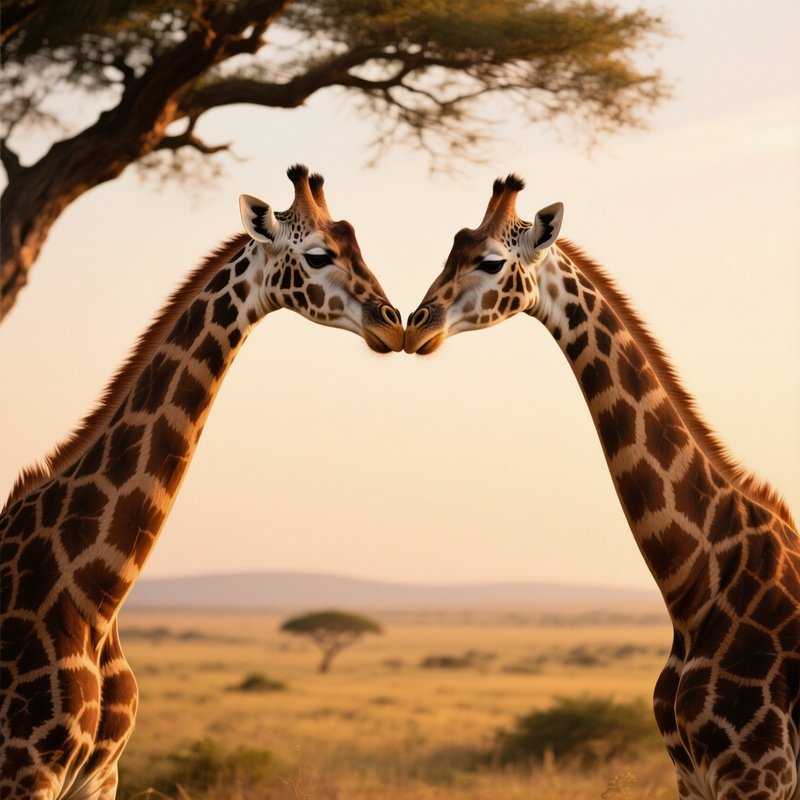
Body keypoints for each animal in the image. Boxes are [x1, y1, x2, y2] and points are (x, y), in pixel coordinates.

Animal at [404, 174, 800, 800]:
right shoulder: (692, 777)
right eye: (452, 250)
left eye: (490, 262)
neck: (697, 588)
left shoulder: (759, 774)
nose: (416, 325)